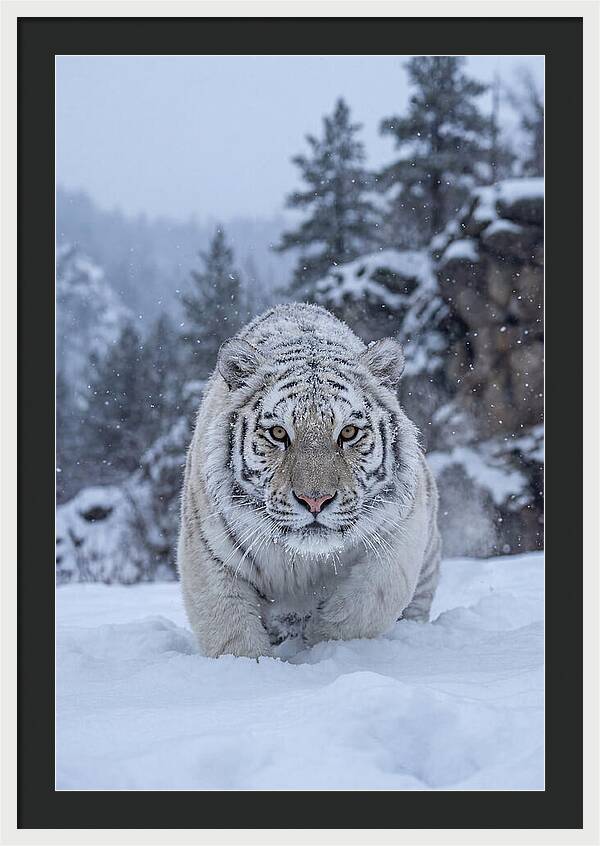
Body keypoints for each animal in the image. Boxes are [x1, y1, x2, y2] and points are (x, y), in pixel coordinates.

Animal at [177, 303, 441, 658]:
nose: (315, 500)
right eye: (278, 433)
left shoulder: (400, 533)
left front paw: (322, 643)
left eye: (348, 432)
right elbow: (231, 631)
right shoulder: (208, 553)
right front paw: (252, 665)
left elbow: (365, 604)